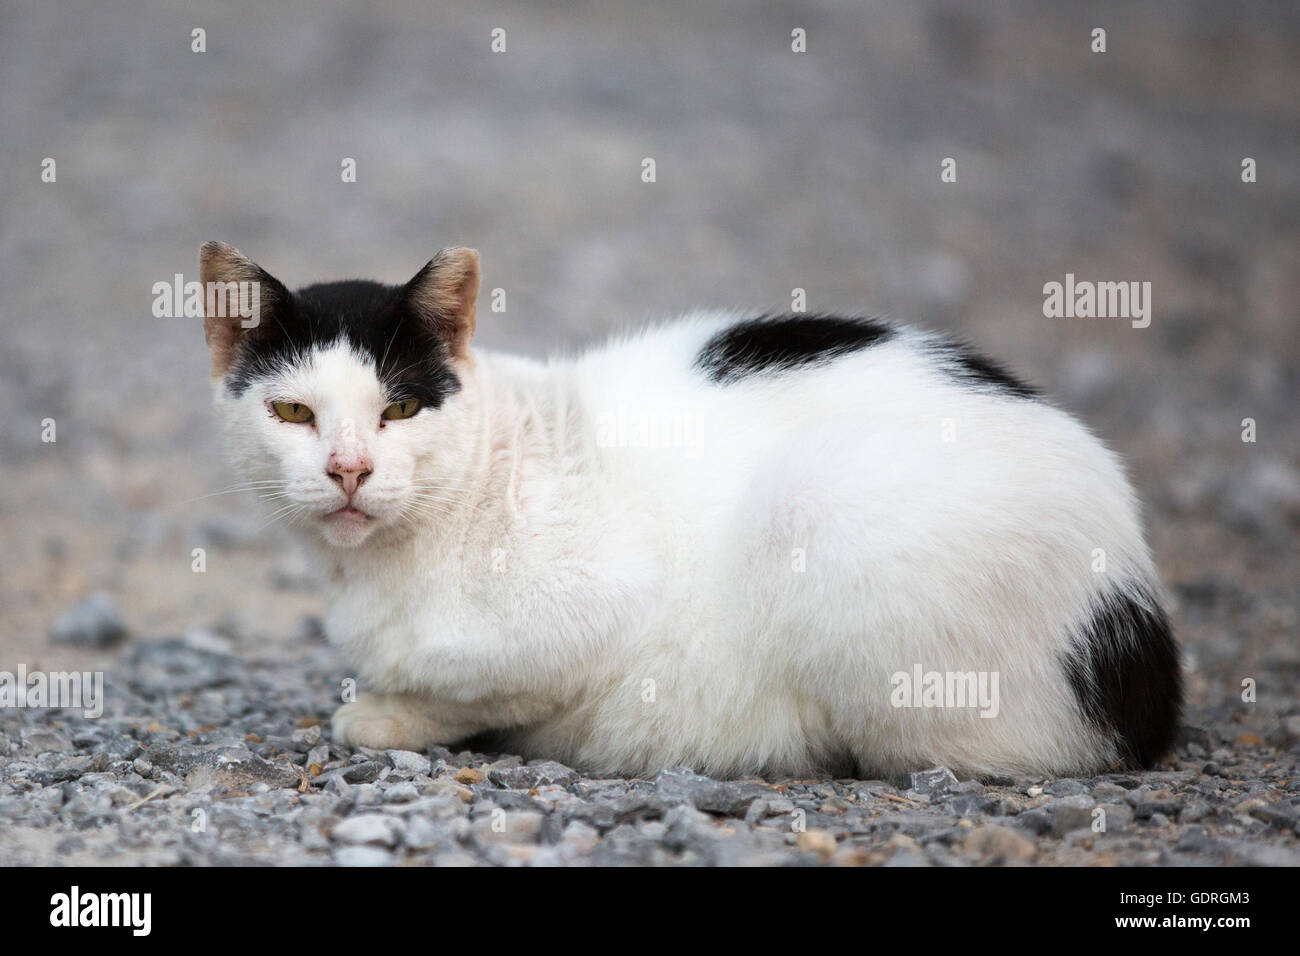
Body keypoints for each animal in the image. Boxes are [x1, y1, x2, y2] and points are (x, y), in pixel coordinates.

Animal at [200, 243, 1180, 780]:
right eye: (294, 412)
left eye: (399, 410)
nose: (349, 469)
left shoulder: (593, 609)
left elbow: (475, 685)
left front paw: (383, 714)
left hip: (820, 500)